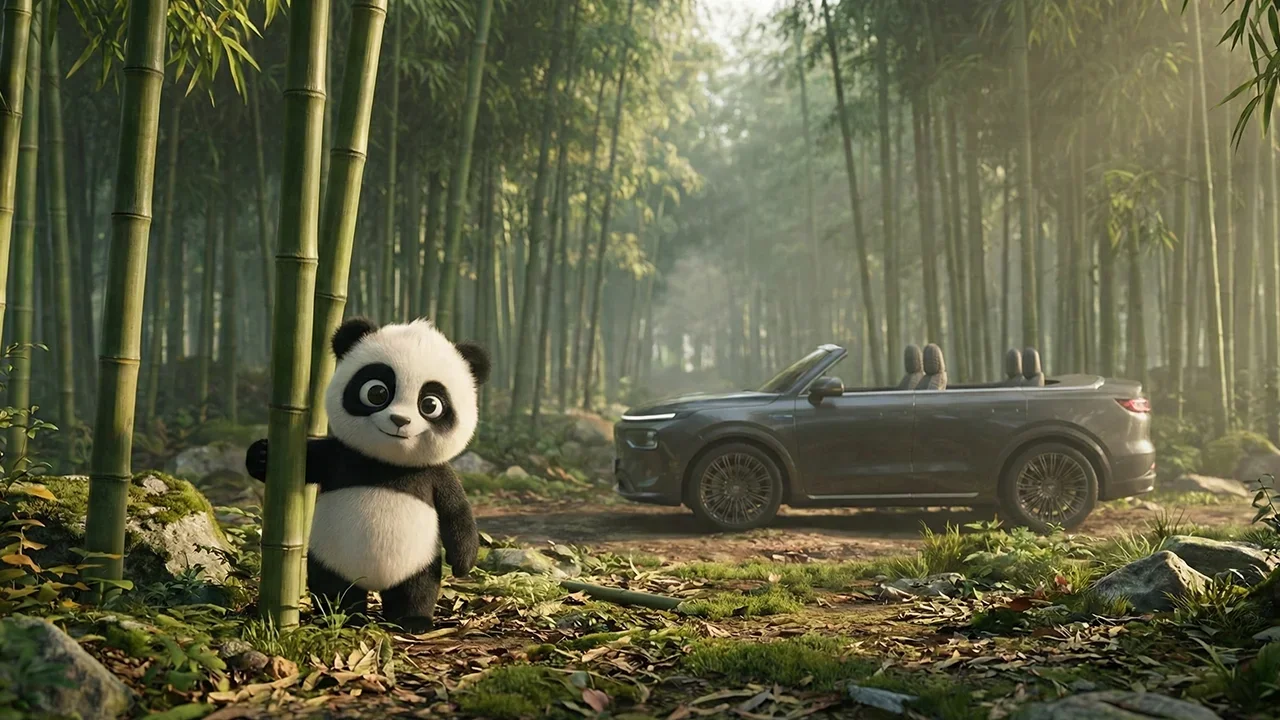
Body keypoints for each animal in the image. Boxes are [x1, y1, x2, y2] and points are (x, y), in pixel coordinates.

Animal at [245, 316, 488, 631]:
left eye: (431, 404)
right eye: (377, 392)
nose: (400, 420)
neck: (386, 464)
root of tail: (375, 582)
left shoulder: (434, 474)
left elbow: (457, 510)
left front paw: (462, 565)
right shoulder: (341, 456)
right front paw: (261, 454)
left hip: (419, 559)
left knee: (418, 587)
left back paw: (412, 620)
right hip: (331, 557)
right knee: (334, 587)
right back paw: (345, 617)